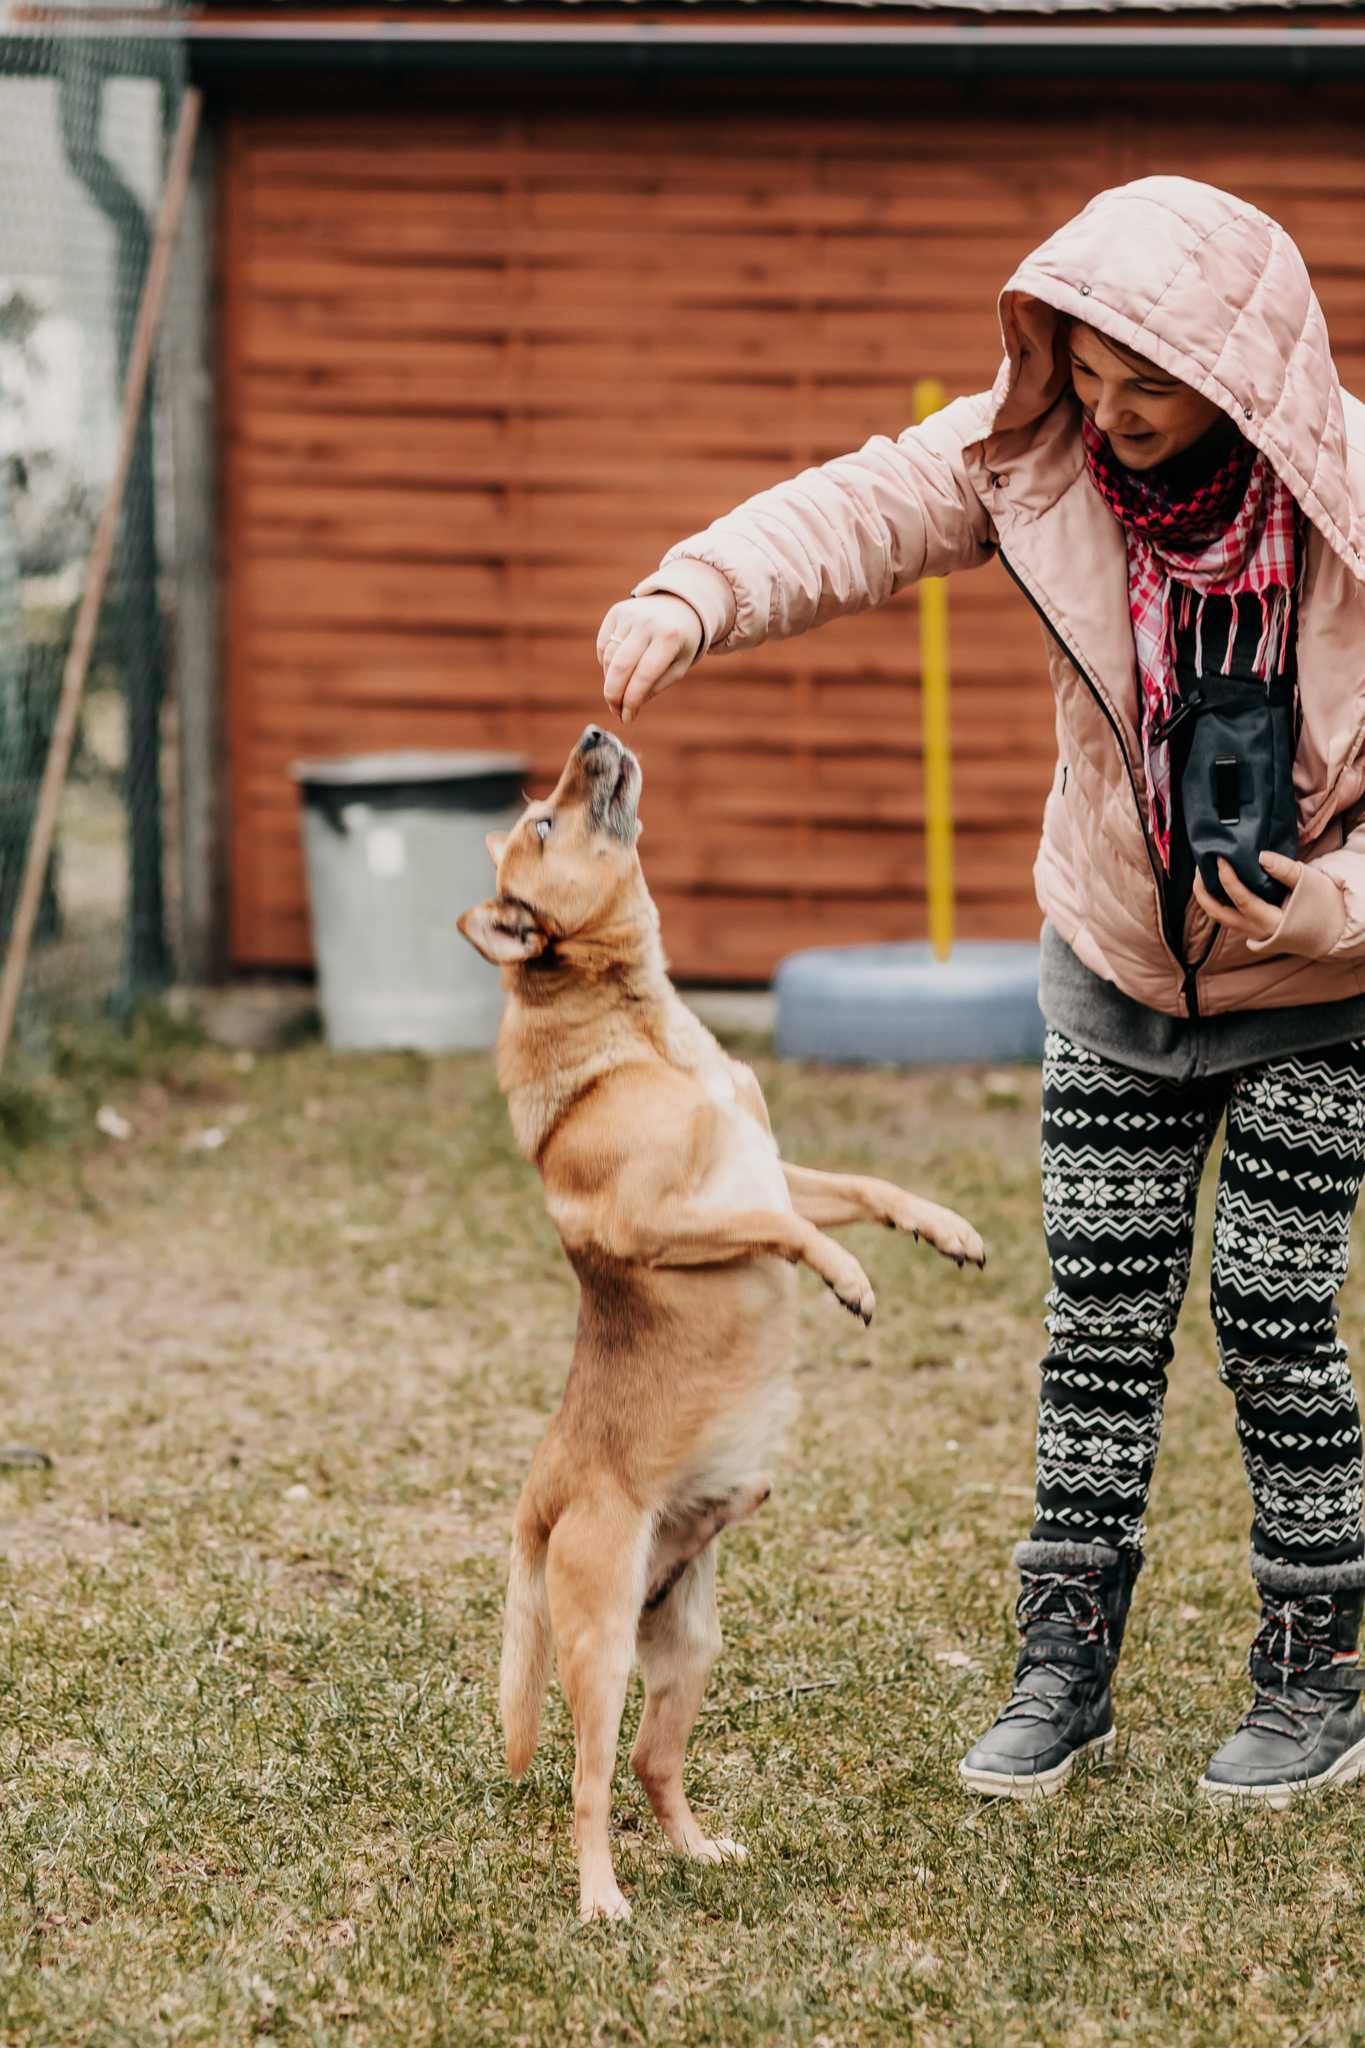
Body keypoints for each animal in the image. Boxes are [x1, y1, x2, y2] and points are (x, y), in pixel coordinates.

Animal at [458, 720, 982, 1916]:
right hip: (603, 1651)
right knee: (588, 1780)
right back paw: (602, 1899)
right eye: (544, 822)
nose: (595, 730)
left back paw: (698, 1850)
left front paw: (944, 1228)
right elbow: (785, 1228)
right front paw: (848, 1277)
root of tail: (540, 1497)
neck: (641, 1033)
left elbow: (862, 1187)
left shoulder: (776, 1165)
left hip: (689, 1645)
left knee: (657, 1765)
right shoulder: (668, 1217)